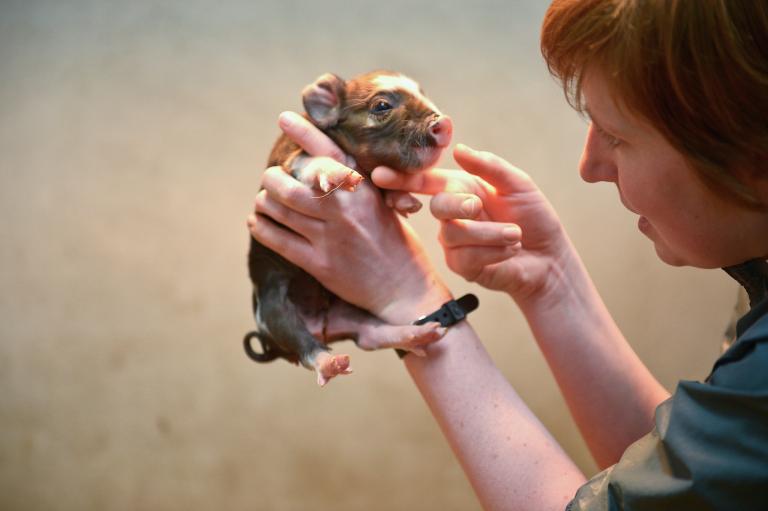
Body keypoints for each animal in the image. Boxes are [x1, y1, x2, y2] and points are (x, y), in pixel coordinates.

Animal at [245, 70, 453, 386]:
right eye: (382, 105)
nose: (445, 122)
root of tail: (323, 326)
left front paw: (407, 203)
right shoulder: (290, 160)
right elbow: (311, 162)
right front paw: (342, 176)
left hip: (357, 316)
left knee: (373, 335)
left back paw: (421, 334)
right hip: (273, 310)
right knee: (305, 346)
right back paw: (332, 362)